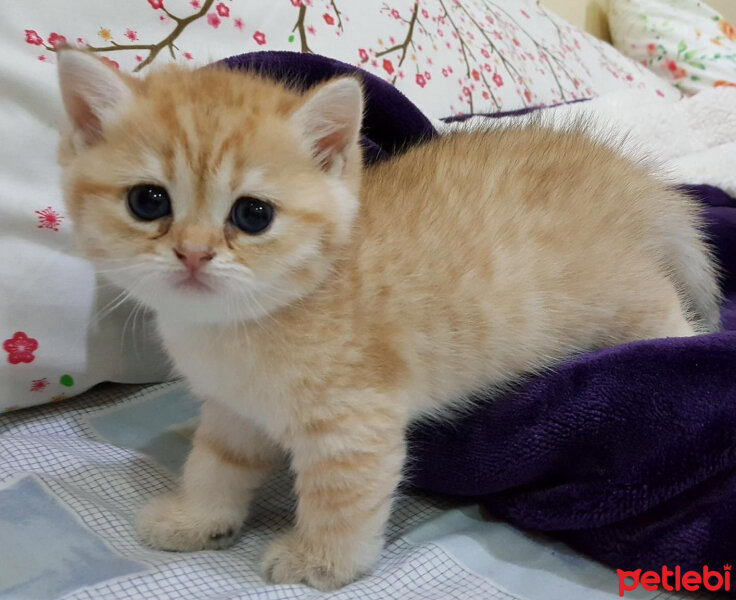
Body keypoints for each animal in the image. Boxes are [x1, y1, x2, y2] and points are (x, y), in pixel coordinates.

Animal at [56, 48, 720, 592]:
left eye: (253, 215)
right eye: (148, 202)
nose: (193, 254)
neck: (239, 328)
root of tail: (629, 178)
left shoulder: (355, 421)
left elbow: (341, 497)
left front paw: (320, 561)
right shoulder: (233, 410)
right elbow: (215, 465)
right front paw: (197, 517)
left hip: (618, 295)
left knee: (664, 304)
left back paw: (689, 337)